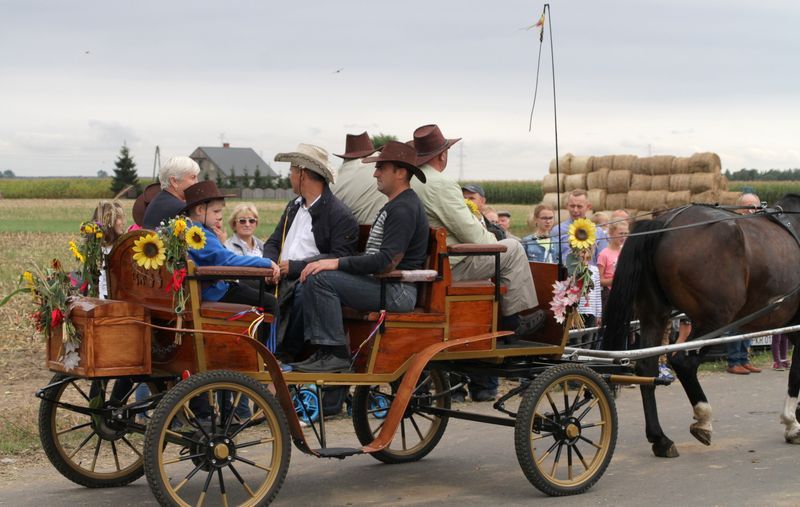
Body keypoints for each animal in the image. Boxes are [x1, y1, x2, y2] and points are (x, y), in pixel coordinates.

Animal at [604, 192, 800, 458]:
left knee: (647, 366)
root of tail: (665, 222)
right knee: (683, 362)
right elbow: (796, 373)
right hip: (715, 321)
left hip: (655, 314)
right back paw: (703, 418)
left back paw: (660, 438)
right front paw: (792, 424)